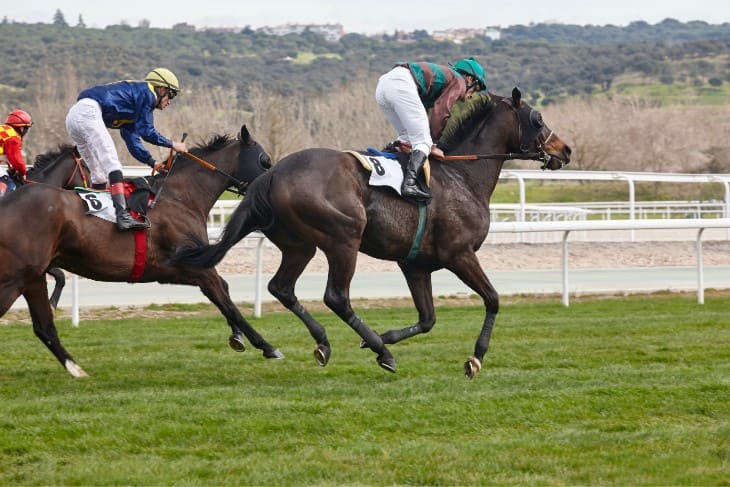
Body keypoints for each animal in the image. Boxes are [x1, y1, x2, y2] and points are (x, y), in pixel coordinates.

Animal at [0, 126, 282, 378]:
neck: (180, 197)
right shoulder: (195, 266)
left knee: (44, 327)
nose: (273, 179)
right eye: (265, 160)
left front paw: (237, 337)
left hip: (32, 277)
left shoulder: (175, 269)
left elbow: (224, 291)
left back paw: (77, 370)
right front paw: (267, 346)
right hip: (16, 278)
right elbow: (228, 303)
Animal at [171, 90, 568, 382]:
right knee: (336, 297)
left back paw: (327, 342)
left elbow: (428, 319)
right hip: (343, 238)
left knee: (281, 288)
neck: (463, 177)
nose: (564, 150)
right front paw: (475, 357)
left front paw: (390, 337)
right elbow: (493, 299)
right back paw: (381, 351)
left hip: (300, 245)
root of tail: (273, 174)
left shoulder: (416, 265)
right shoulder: (460, 254)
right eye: (537, 118)